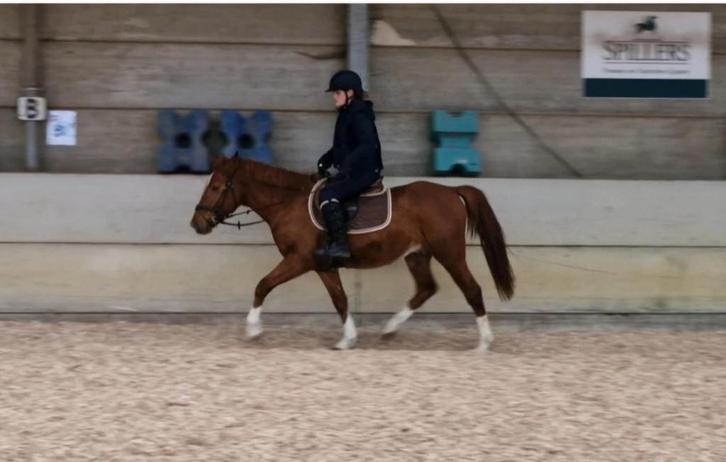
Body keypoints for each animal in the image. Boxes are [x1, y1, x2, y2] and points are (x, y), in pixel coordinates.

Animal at [190, 156, 515, 351]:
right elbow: (340, 300)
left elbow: (262, 285)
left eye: (216, 187)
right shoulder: (323, 265)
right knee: (426, 288)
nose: (197, 224)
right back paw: (389, 329)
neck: (288, 203)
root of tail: (451, 191)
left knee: (471, 289)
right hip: (417, 255)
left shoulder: (299, 260)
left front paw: (252, 330)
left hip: (450, 254)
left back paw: (484, 342)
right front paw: (347, 339)